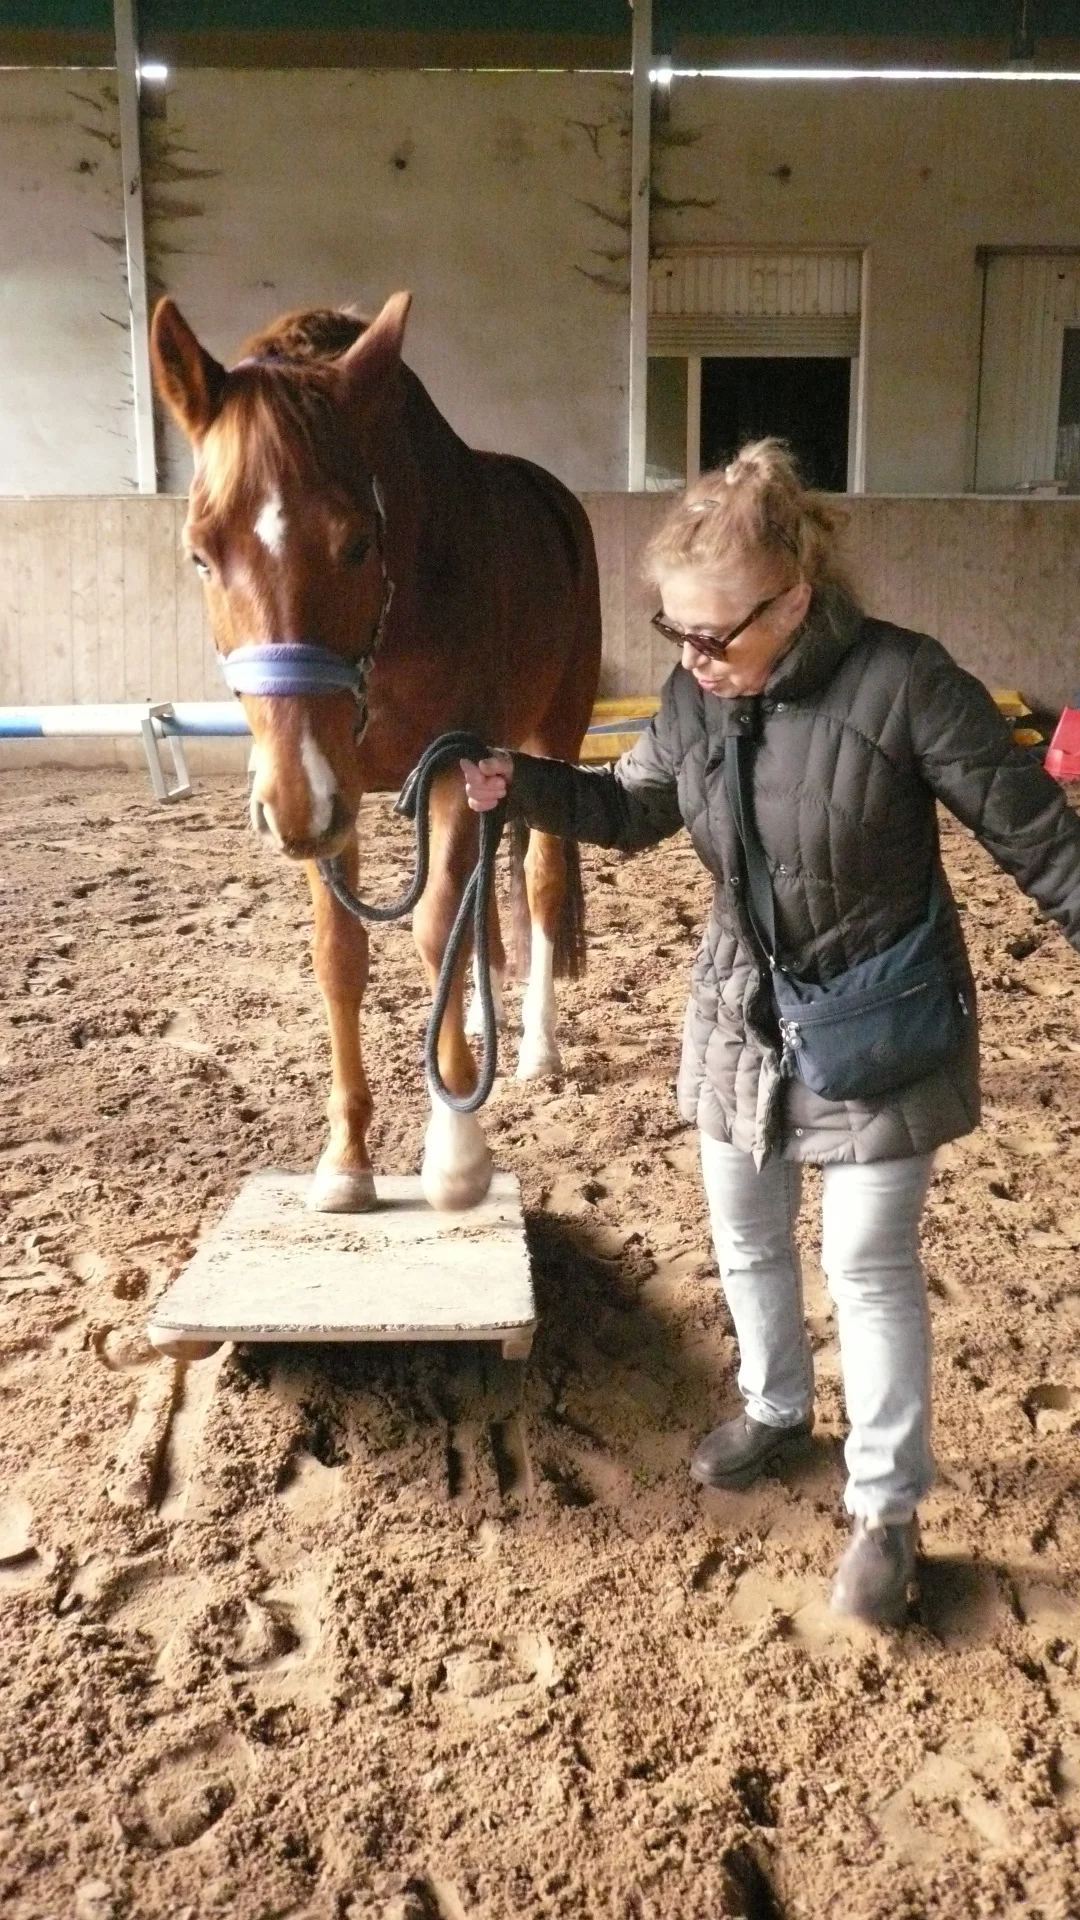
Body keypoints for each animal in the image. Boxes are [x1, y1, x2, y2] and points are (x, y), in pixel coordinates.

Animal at [150, 291, 602, 1214]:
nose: (288, 807)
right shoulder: (336, 790)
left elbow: (433, 930)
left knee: (538, 884)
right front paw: (346, 1158)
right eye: (201, 552)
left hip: (552, 735)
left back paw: (535, 1049)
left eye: (358, 541)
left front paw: (457, 1156)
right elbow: (343, 960)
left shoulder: (449, 766)